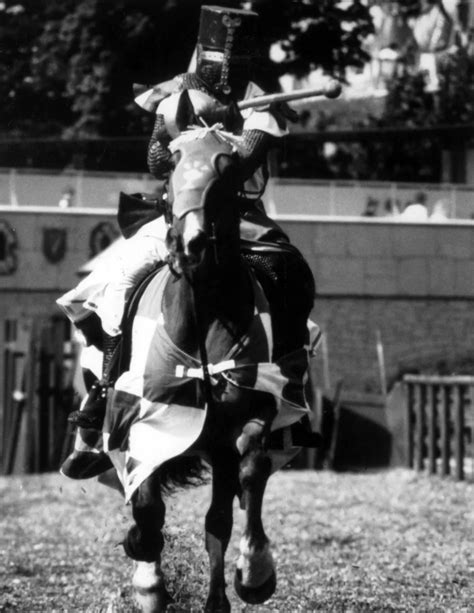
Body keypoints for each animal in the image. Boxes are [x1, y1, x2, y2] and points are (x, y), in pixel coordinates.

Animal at [95, 112, 314, 608]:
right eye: (170, 172)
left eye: (228, 173)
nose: (191, 243)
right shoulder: (139, 419)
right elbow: (147, 507)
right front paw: (147, 578)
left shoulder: (253, 408)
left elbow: (250, 469)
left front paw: (255, 571)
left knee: (220, 517)